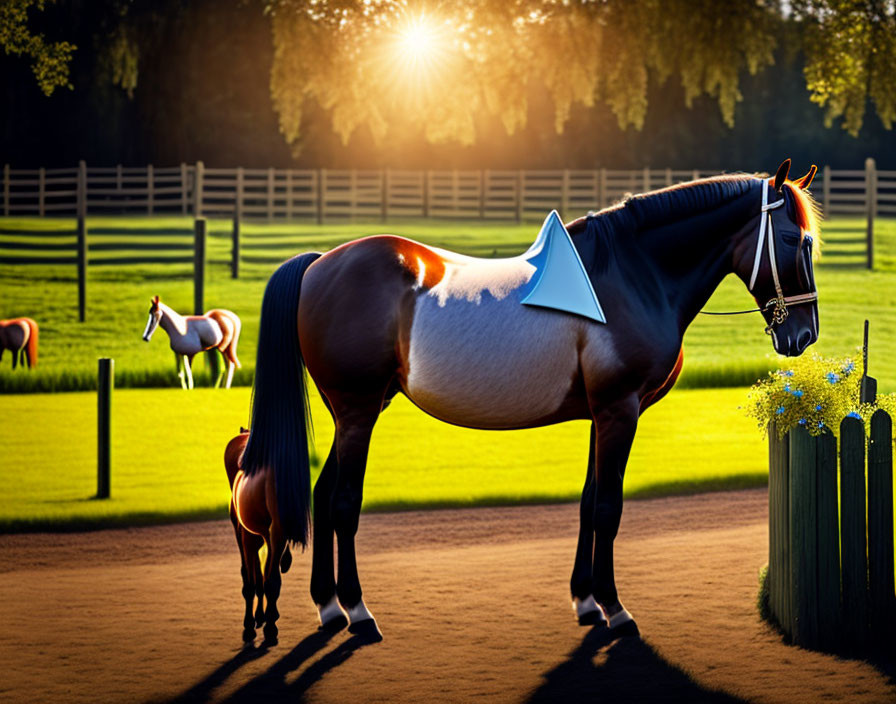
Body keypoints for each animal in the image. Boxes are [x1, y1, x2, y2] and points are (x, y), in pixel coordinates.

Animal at [226, 428, 296, 644]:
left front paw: (262, 623)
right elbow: (256, 579)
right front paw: (255, 621)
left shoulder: (264, 538)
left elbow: (264, 579)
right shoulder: (250, 539)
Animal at [242, 161, 824, 644]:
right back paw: (359, 613)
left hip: (358, 410)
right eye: (795, 239)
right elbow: (609, 508)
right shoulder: (620, 409)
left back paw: (329, 607)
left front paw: (587, 602)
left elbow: (590, 503)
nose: (803, 334)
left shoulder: (601, 415)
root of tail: (320, 263)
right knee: (343, 502)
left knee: (322, 494)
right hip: (358, 410)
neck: (629, 276)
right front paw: (616, 610)